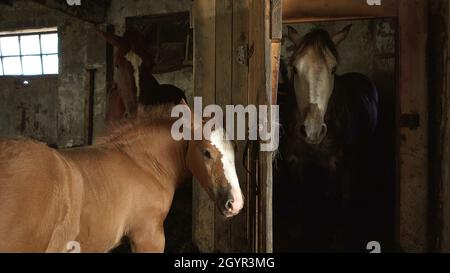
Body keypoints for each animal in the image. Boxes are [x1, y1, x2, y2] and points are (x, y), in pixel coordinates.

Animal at [274, 25, 380, 251]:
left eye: (333, 69)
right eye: (295, 69)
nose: (312, 130)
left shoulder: (335, 164)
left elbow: (331, 203)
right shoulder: (295, 163)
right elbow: (300, 199)